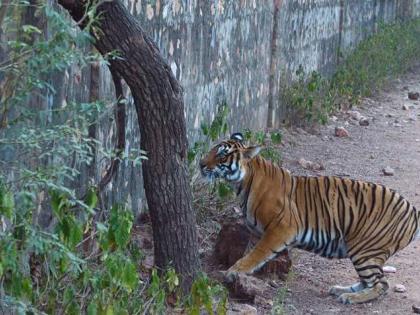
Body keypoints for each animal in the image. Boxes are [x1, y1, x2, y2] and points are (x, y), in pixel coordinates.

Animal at [199, 132, 418, 304]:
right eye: (212, 150)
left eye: (222, 155)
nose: (200, 164)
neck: (243, 183)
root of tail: (413, 210)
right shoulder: (255, 231)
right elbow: (251, 253)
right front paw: (243, 274)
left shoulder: (281, 228)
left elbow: (256, 254)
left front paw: (234, 271)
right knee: (370, 280)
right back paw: (340, 289)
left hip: (365, 248)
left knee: (382, 284)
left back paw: (351, 297)